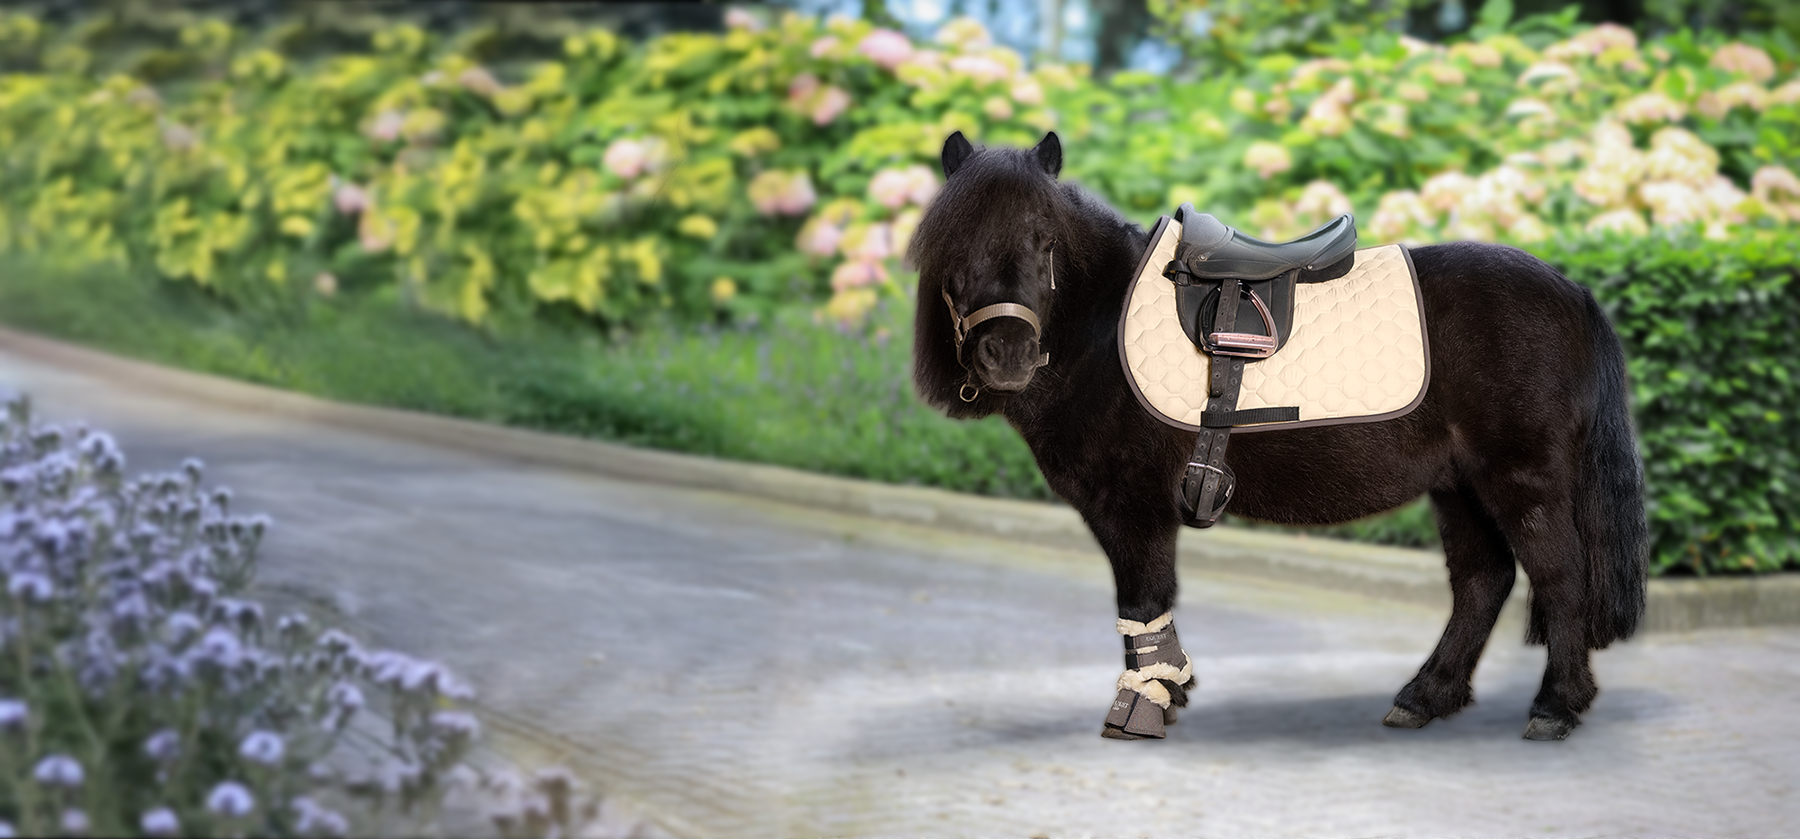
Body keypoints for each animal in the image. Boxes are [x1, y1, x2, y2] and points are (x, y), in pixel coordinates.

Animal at [908, 131, 1648, 741]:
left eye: (1045, 241)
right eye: (954, 242)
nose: (1007, 354)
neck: (1098, 330)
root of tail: (1572, 291)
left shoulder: (1132, 508)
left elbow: (1143, 602)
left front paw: (1141, 705)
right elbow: (1147, 610)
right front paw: (1168, 690)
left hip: (1522, 477)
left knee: (1559, 575)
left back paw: (1555, 705)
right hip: (1459, 484)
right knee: (1482, 581)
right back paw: (1424, 696)